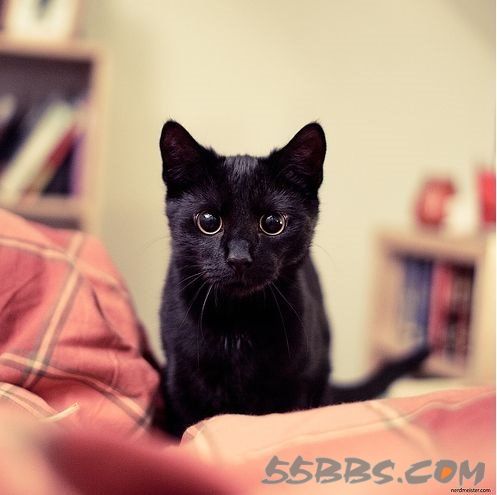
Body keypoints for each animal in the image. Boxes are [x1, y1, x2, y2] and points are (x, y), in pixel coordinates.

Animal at [159, 120, 428, 438]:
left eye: (273, 223)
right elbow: (189, 429)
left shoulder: (300, 380)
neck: (237, 321)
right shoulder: (181, 380)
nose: (239, 257)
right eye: (209, 221)